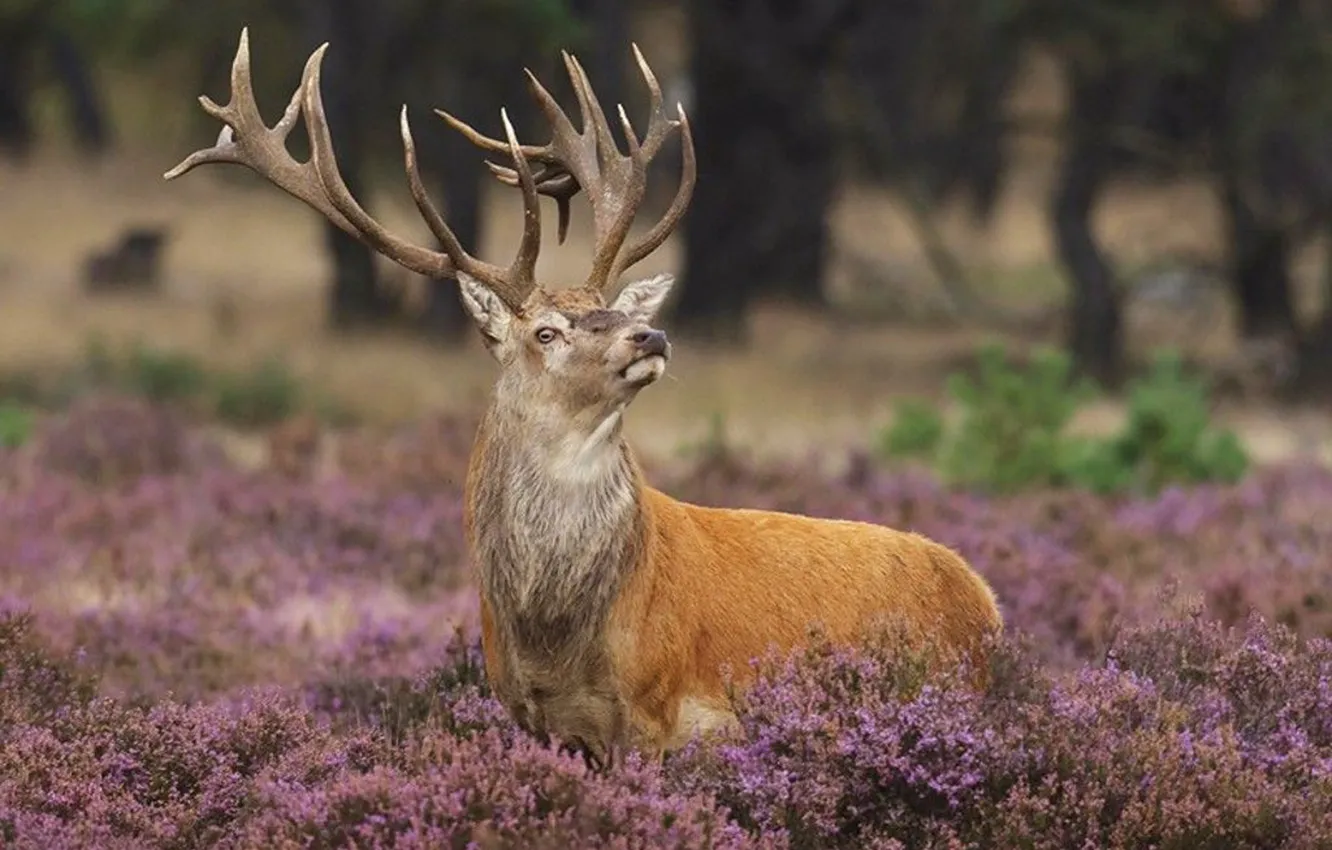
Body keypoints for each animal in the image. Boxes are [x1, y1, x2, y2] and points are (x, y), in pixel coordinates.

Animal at [165, 29, 1004, 768]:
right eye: (546, 331)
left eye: (613, 309)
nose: (650, 334)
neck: (558, 637)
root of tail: (987, 601)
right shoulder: (532, 716)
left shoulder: (659, 709)